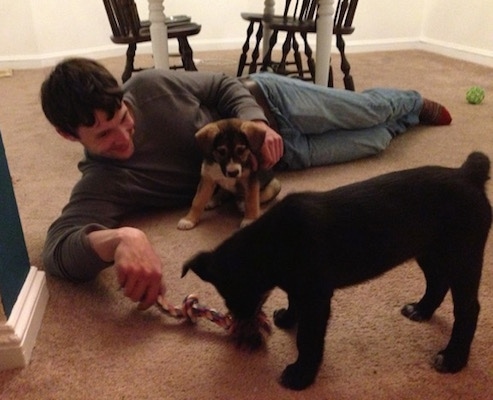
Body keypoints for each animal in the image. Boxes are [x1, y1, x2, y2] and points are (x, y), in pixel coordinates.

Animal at [182, 153, 492, 390]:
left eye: (240, 293)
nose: (241, 323)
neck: (274, 243)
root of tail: (468, 174)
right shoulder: (301, 289)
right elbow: (294, 302)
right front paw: (288, 318)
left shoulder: (317, 298)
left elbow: (308, 338)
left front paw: (301, 374)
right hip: (429, 252)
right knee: (438, 282)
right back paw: (422, 310)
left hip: (463, 257)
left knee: (468, 309)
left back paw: (453, 358)